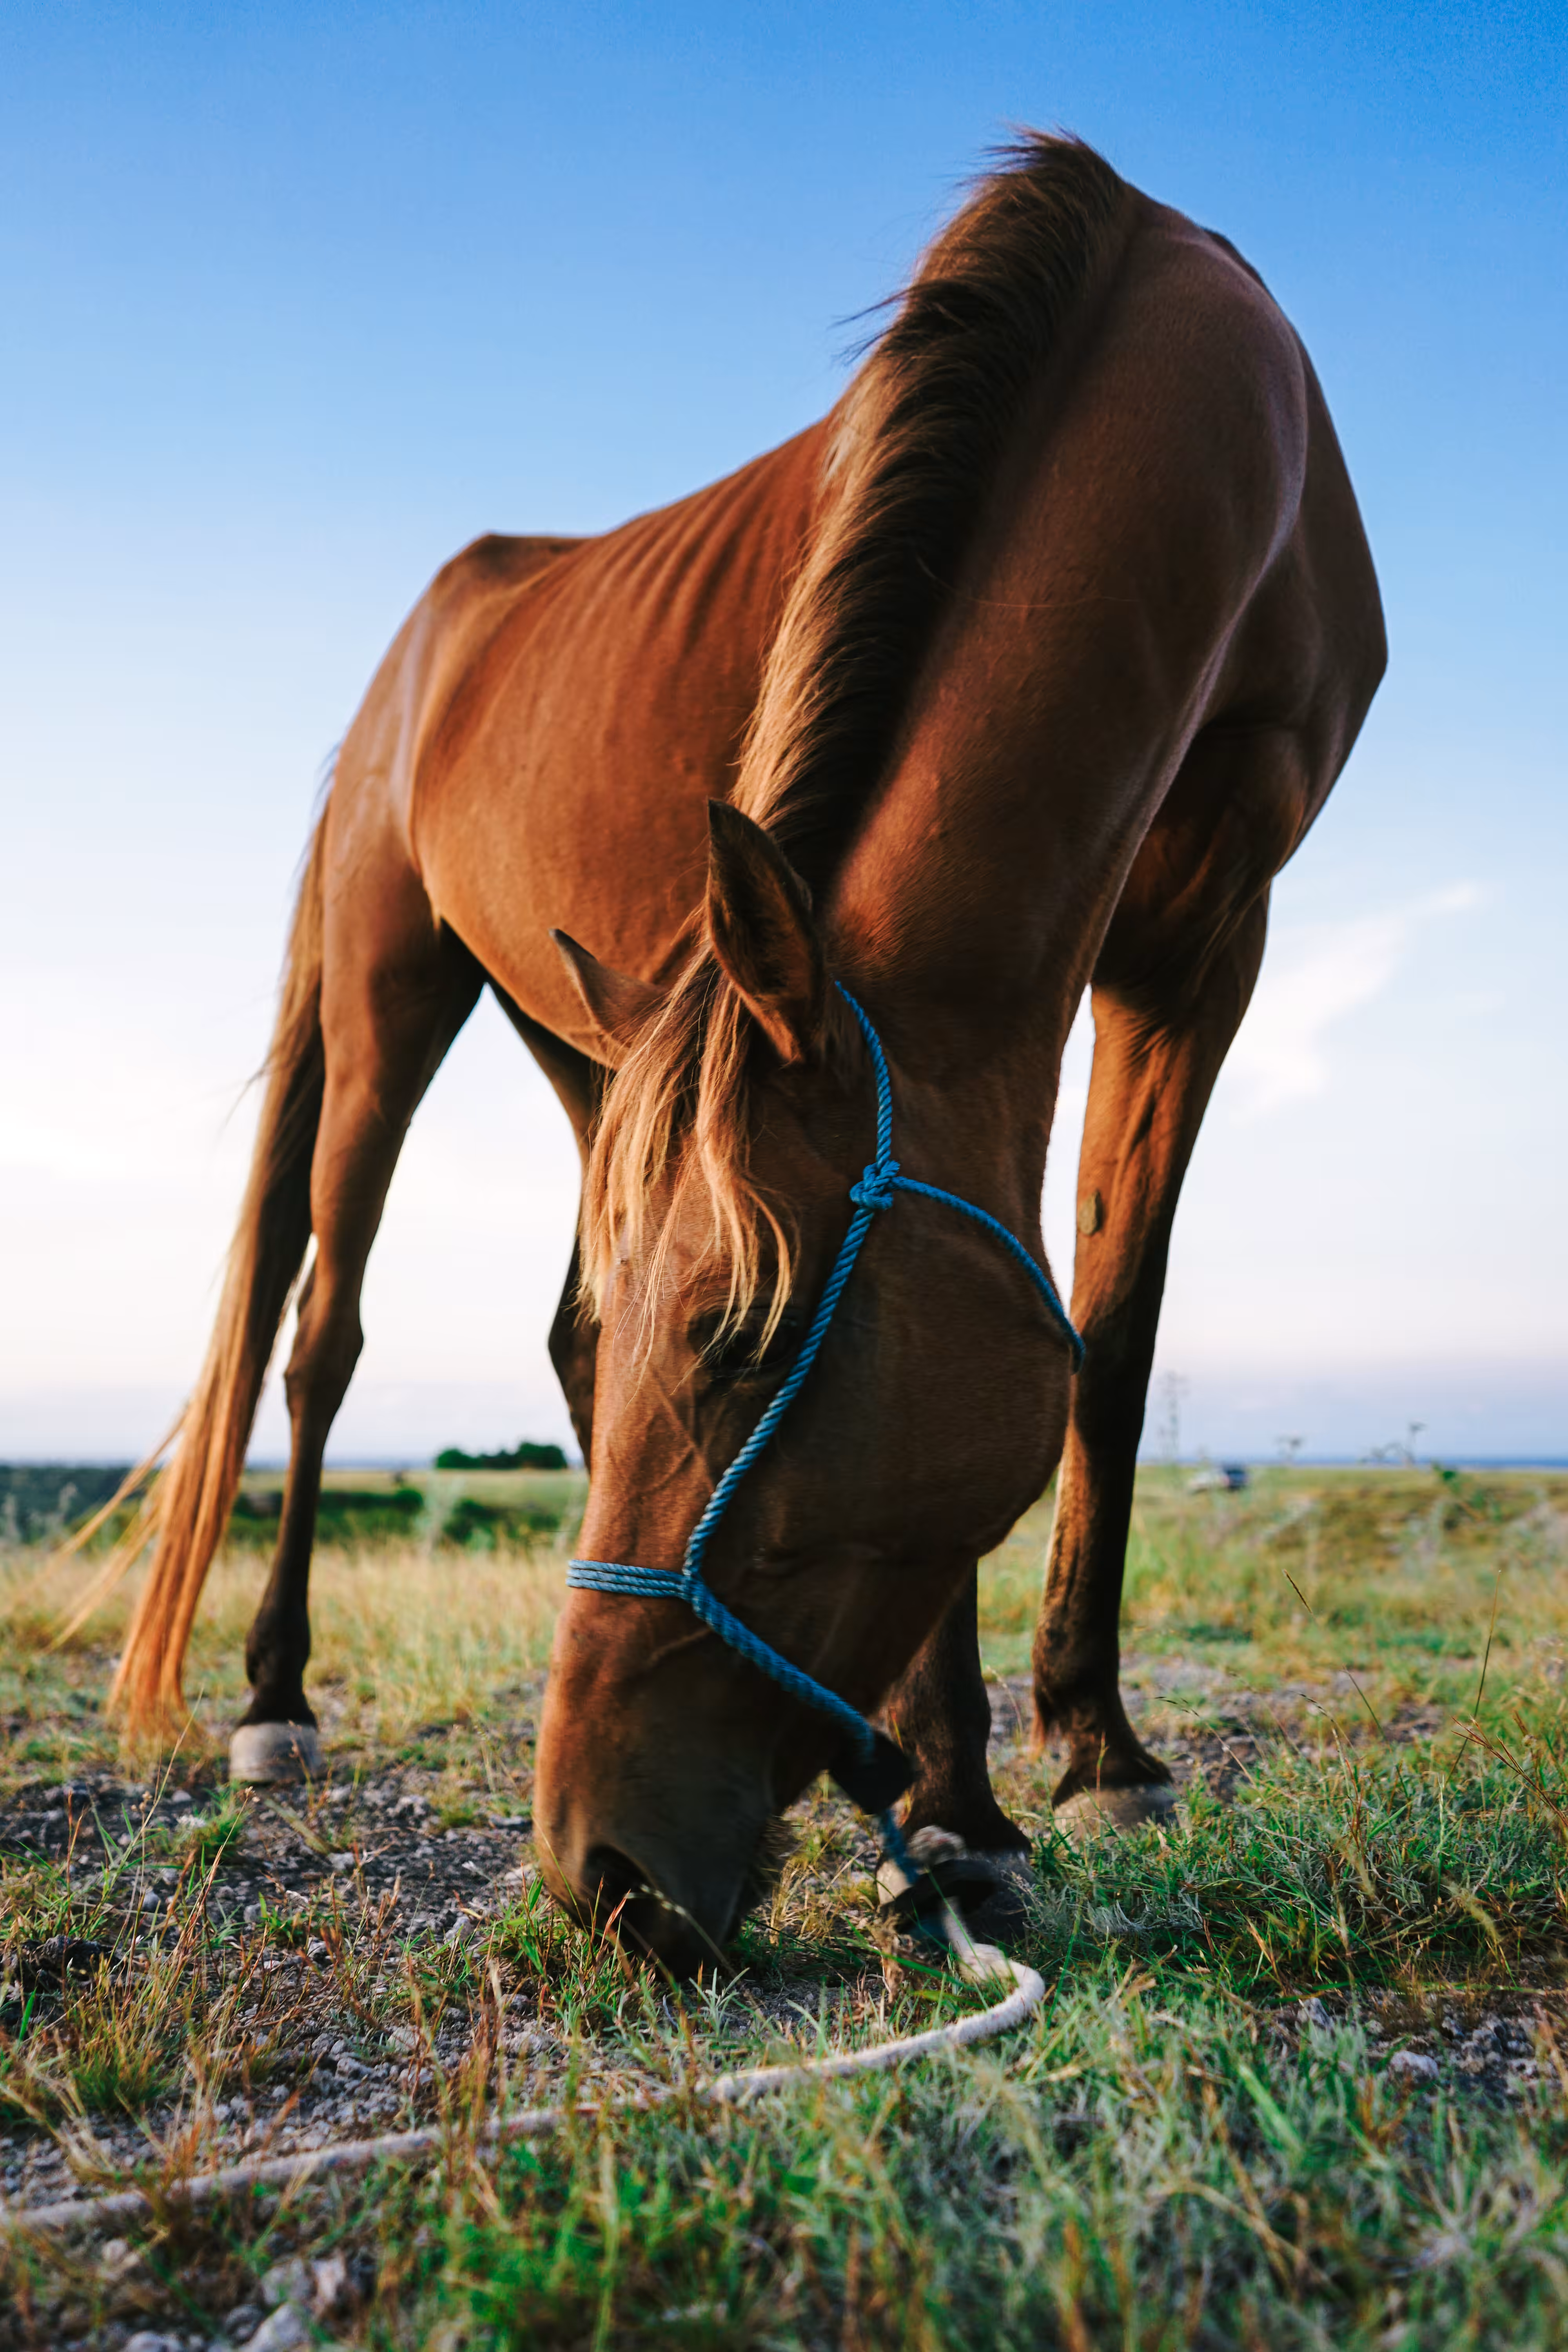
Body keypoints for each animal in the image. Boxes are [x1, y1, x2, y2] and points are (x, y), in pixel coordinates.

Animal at [100, 134, 1383, 1971]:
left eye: (746, 1339)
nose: (600, 1866)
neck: (1205, 417)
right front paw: (952, 1798)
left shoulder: (1199, 954)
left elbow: (1111, 1336)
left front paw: (1090, 1748)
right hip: (389, 995)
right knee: (320, 1337)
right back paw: (275, 1700)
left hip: (590, 1030)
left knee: (558, 1324)